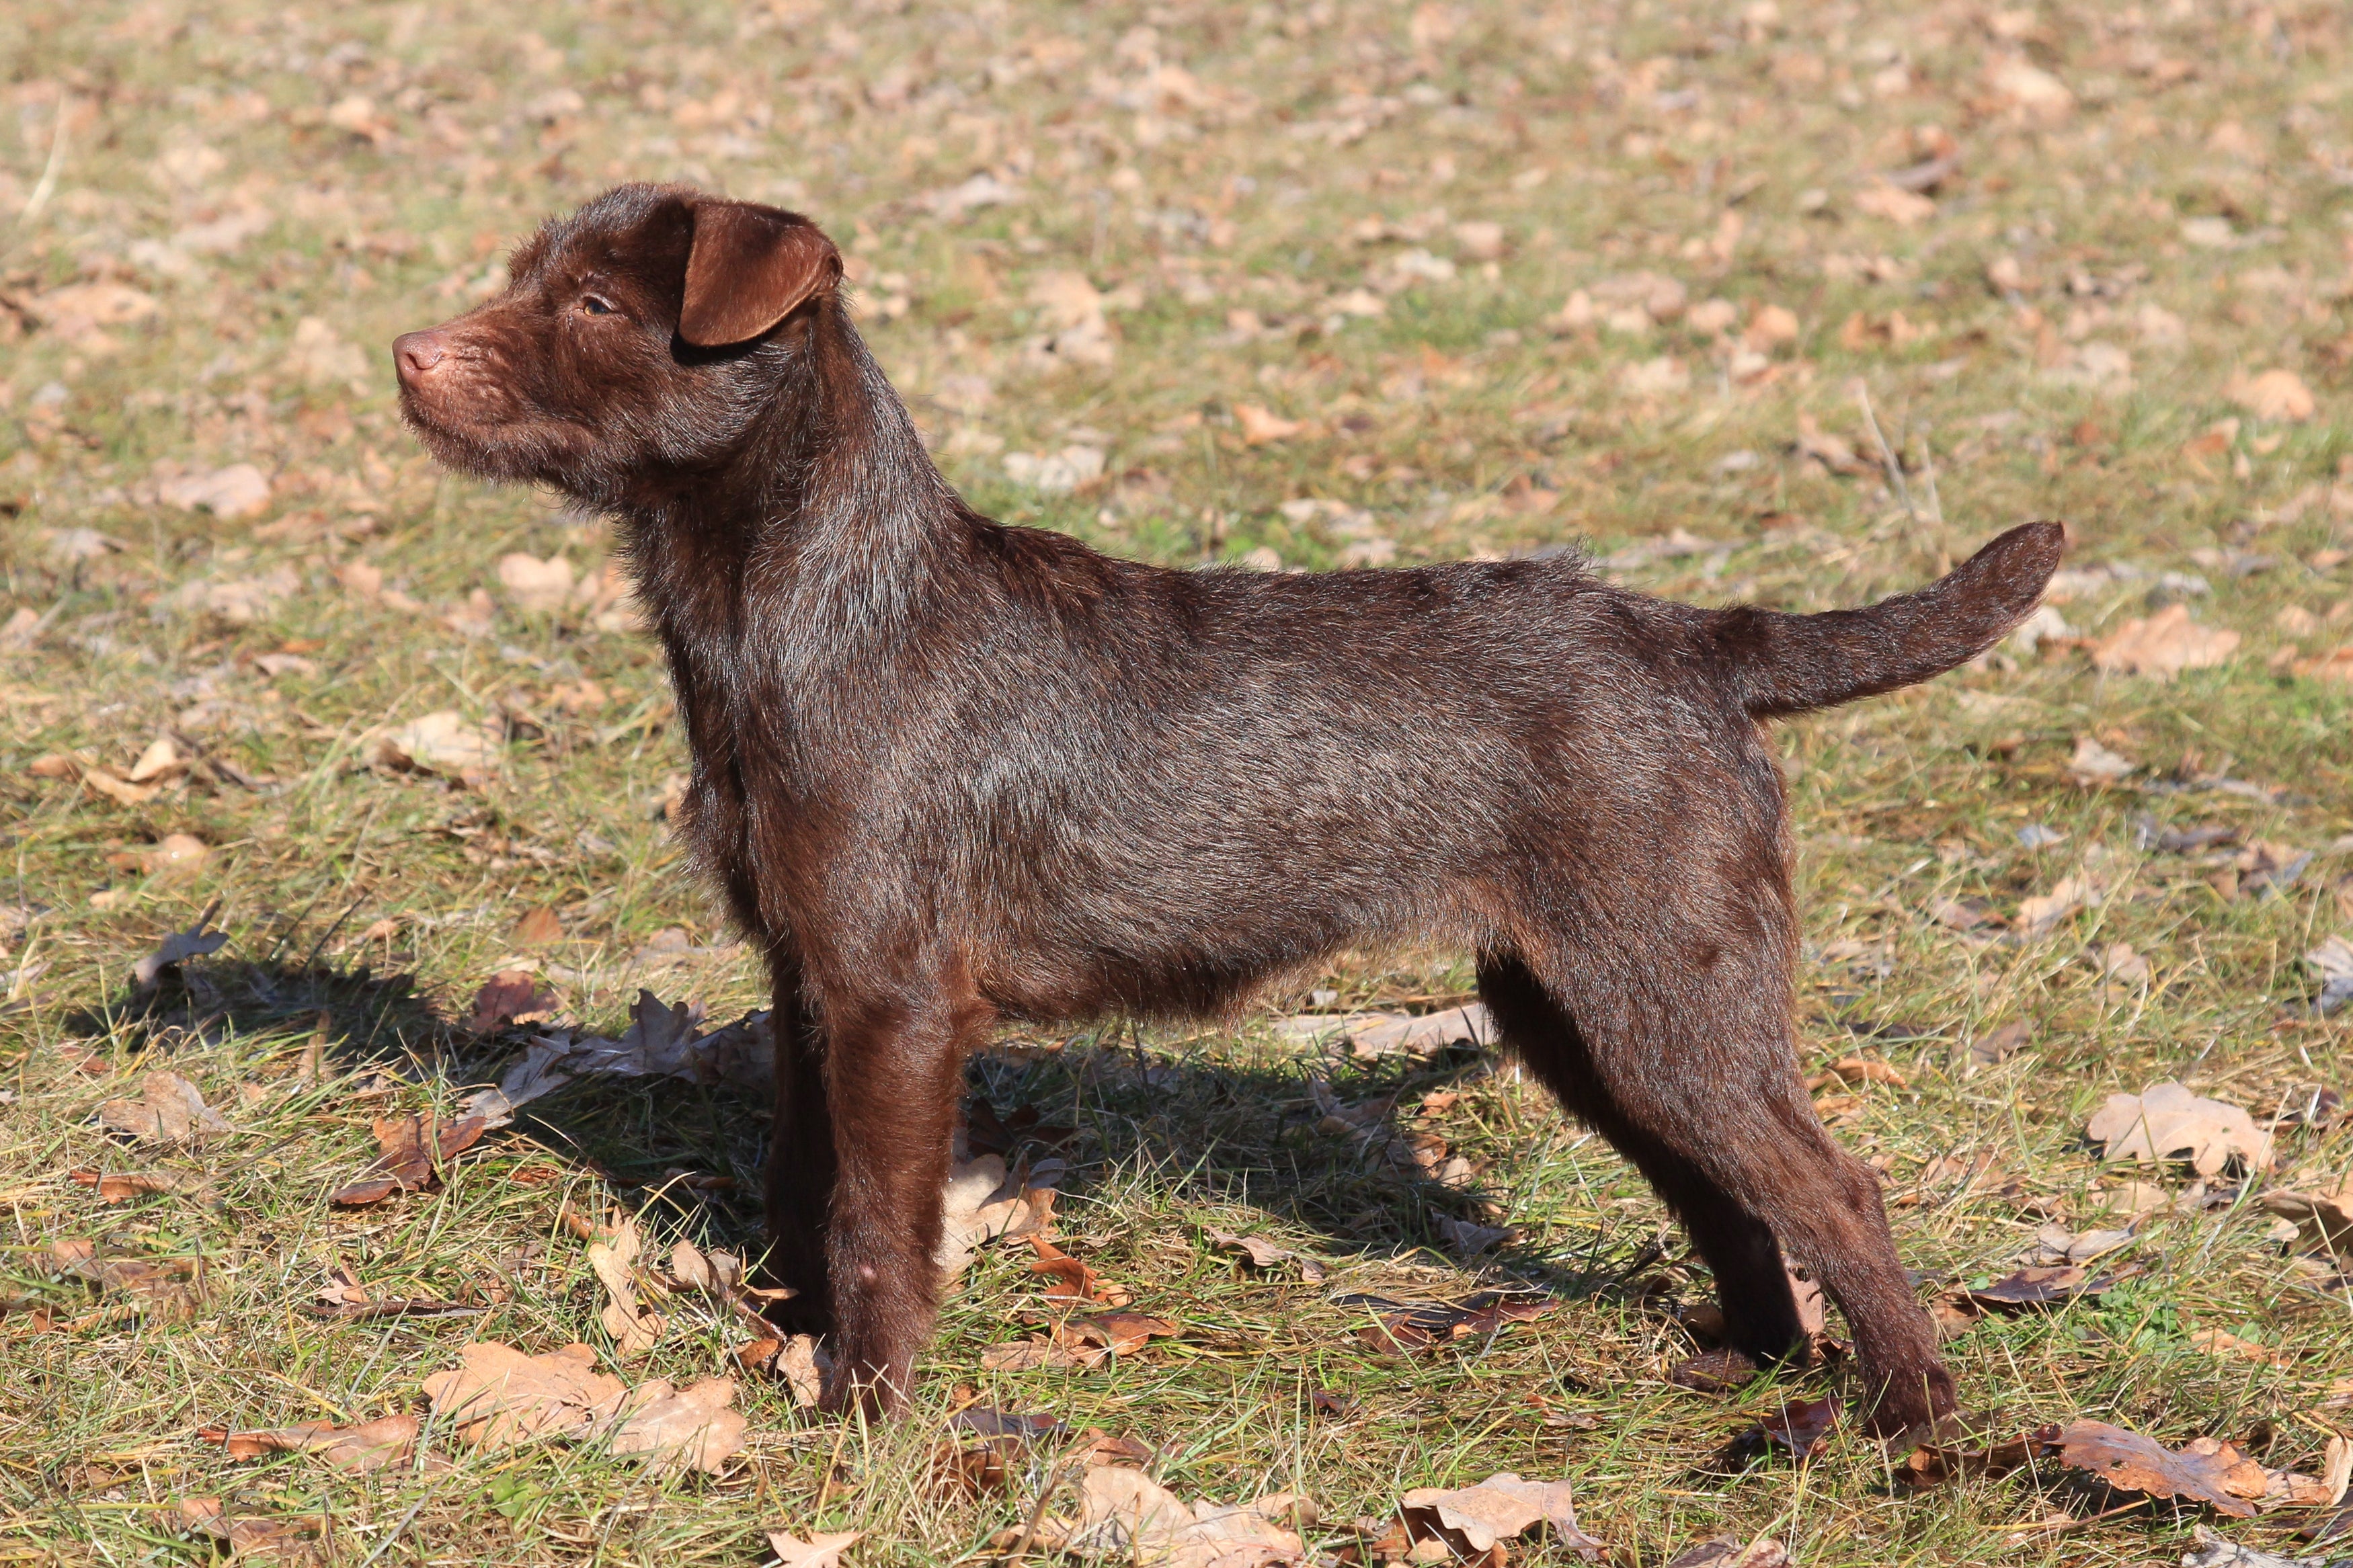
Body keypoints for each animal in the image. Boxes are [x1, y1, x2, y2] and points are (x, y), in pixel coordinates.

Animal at [400, 181, 2061, 1438]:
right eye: (525, 277)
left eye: (596, 306)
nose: (407, 354)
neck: (811, 610)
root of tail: (1698, 641)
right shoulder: (811, 979)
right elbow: (802, 1179)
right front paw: (789, 1339)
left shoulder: (894, 999)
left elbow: (876, 1215)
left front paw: (865, 1409)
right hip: (1582, 1014)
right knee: (1727, 1190)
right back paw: (1756, 1358)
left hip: (1668, 992)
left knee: (1833, 1187)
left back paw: (1909, 1422)